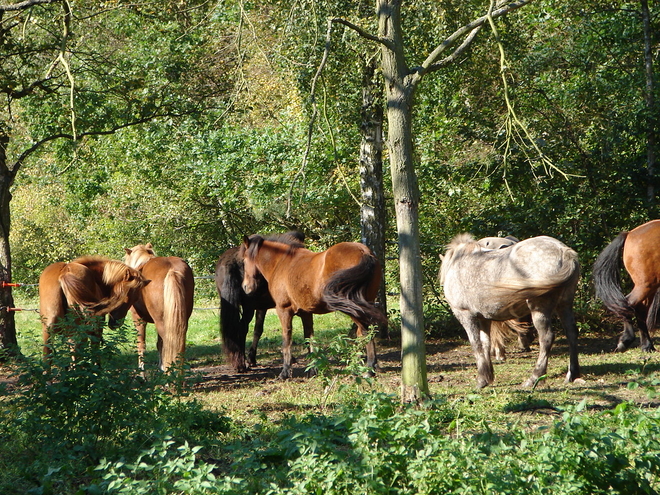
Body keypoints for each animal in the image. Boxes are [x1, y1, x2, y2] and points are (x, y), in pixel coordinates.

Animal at [217, 232, 310, 372]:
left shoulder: (262, 307)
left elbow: (258, 330)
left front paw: (252, 358)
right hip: (248, 307)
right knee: (242, 328)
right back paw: (241, 363)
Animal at [238, 236, 384, 380]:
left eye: (244, 260)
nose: (245, 287)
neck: (281, 263)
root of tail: (364, 252)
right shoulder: (306, 313)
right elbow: (309, 339)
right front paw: (313, 370)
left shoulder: (283, 310)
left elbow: (286, 340)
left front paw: (285, 372)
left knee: (365, 331)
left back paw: (369, 369)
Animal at [440, 234, 580, 390]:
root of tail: (563, 250)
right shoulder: (483, 319)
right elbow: (486, 344)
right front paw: (488, 377)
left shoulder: (466, 315)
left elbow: (476, 345)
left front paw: (481, 380)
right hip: (564, 305)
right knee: (572, 333)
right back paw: (572, 374)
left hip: (539, 308)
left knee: (546, 338)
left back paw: (534, 378)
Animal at [592, 220, 660, 352]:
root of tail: (629, 233)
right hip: (646, 285)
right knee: (628, 304)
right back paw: (626, 340)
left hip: (650, 286)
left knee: (639, 309)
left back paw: (647, 345)